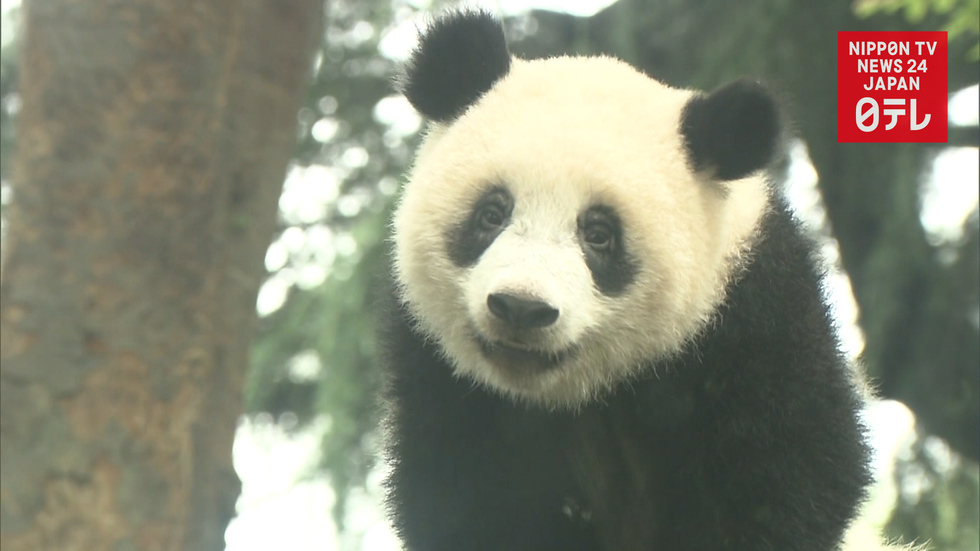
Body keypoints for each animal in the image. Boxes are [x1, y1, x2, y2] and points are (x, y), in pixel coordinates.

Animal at [378, 8, 910, 551]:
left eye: (599, 234)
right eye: (492, 214)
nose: (521, 308)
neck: (586, 392)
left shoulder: (757, 326)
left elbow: (784, 479)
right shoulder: (446, 385)